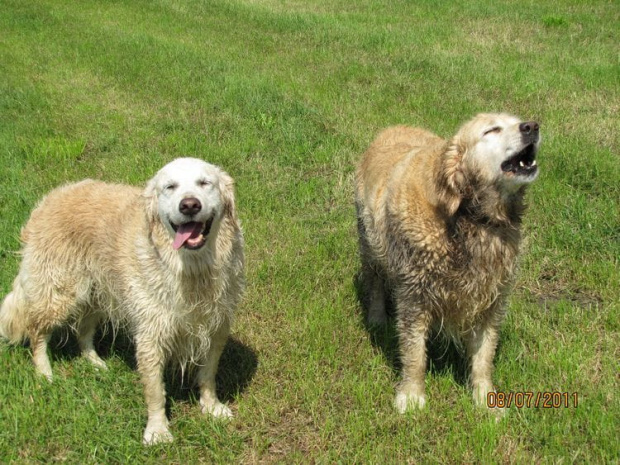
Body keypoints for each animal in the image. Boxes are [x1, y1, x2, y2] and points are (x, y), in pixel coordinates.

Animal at [0, 158, 246, 444]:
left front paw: (211, 407)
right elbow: (155, 391)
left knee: (83, 331)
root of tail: (49, 198)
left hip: (96, 293)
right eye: (170, 187)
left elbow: (208, 374)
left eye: (205, 183)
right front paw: (157, 431)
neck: (192, 268)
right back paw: (44, 373)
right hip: (59, 294)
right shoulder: (151, 335)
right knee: (37, 332)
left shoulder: (216, 326)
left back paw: (95, 362)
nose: (189, 205)